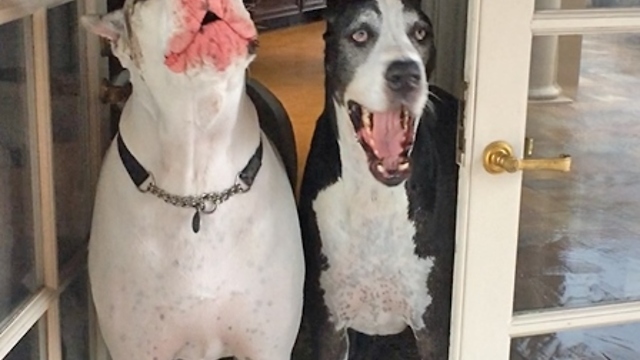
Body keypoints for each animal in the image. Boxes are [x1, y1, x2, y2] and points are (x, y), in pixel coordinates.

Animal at [298, 0, 458, 360]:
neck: (373, 195)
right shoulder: (329, 329)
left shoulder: (433, 330)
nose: (406, 74)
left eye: (420, 33)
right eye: (359, 34)